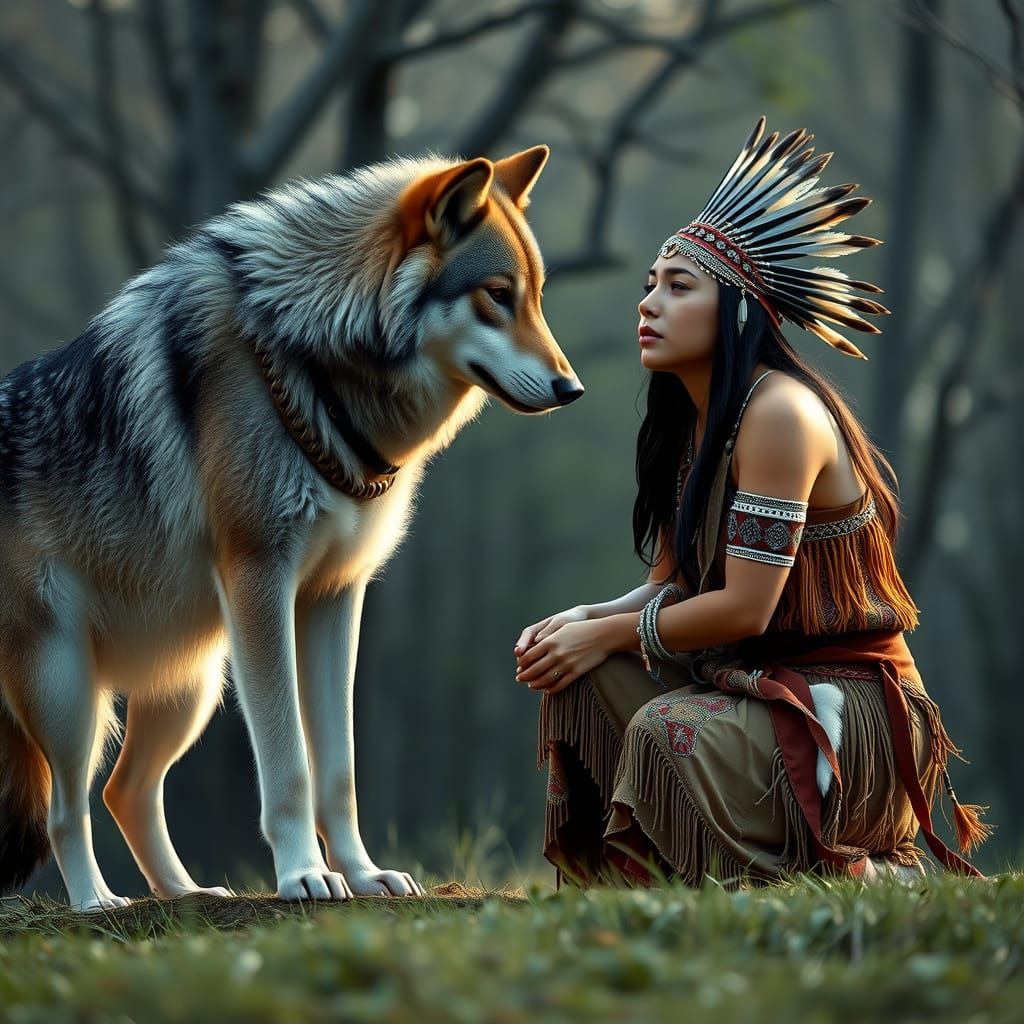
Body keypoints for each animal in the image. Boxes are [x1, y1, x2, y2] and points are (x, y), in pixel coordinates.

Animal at [0, 146, 583, 909]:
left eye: (538, 296)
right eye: (496, 294)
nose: (572, 389)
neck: (310, 359)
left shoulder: (336, 596)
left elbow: (339, 768)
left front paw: (363, 875)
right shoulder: (261, 581)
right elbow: (290, 764)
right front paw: (305, 875)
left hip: (191, 686)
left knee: (126, 791)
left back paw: (190, 895)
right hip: (71, 692)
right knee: (67, 808)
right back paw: (98, 900)